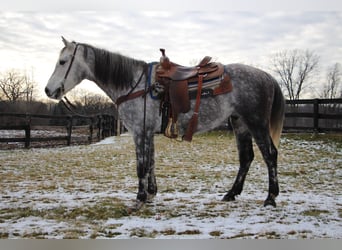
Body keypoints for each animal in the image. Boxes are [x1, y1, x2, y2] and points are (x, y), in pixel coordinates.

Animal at [46, 37, 286, 209]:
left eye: (63, 62)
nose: (49, 90)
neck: (135, 85)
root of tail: (267, 76)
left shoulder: (140, 132)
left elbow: (141, 165)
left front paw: (140, 198)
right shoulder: (148, 132)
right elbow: (151, 162)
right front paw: (151, 194)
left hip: (256, 123)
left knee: (270, 155)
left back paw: (270, 198)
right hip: (240, 124)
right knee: (246, 158)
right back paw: (231, 194)